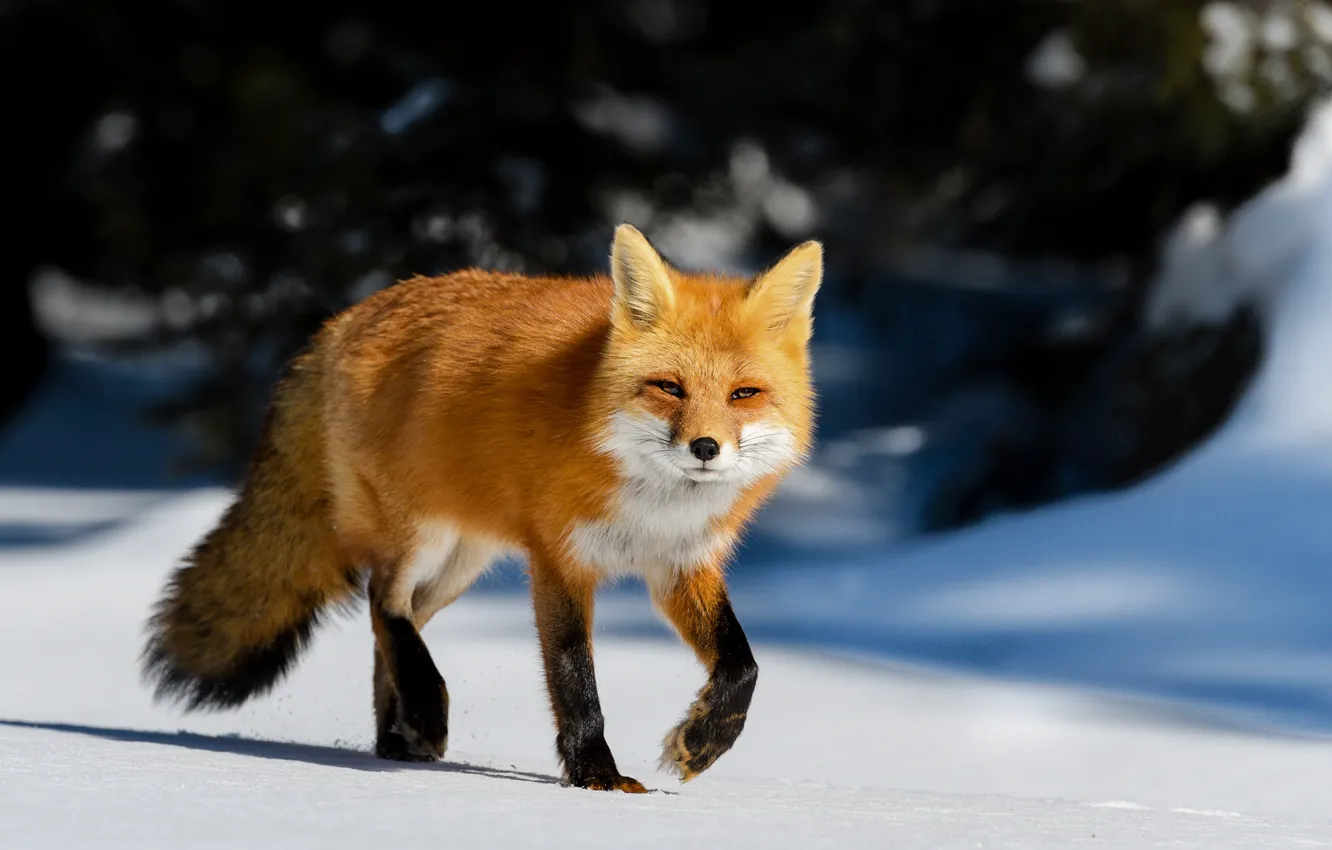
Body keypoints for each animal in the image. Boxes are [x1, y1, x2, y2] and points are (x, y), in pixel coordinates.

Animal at [142, 223, 821, 792]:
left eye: (744, 394)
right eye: (668, 388)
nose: (705, 447)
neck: (650, 504)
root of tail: (346, 317)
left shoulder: (681, 565)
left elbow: (743, 666)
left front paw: (700, 743)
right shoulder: (558, 559)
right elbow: (574, 677)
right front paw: (596, 778)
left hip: (460, 565)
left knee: (390, 629)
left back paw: (396, 739)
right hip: (420, 538)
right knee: (382, 602)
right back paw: (423, 710)